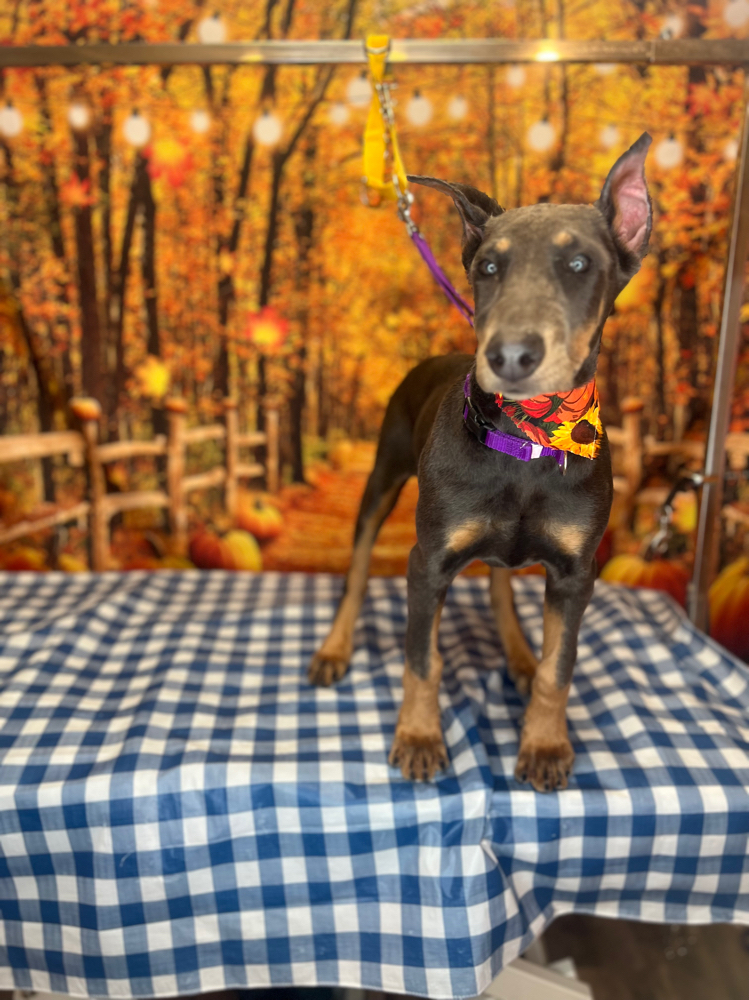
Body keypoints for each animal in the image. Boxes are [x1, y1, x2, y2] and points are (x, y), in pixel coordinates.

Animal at [306, 133, 652, 792]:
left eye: (579, 265)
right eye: (488, 267)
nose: (510, 355)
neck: (528, 440)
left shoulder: (577, 572)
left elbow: (559, 668)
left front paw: (544, 745)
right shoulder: (428, 561)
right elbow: (423, 660)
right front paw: (419, 738)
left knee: (499, 586)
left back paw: (518, 654)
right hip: (382, 480)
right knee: (358, 572)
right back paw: (334, 649)